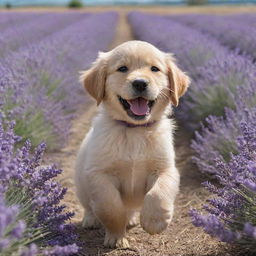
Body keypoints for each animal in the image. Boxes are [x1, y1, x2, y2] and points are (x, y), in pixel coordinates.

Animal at [74, 40, 190, 248]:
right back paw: (91, 219)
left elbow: (158, 194)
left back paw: (132, 218)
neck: (135, 130)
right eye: (122, 68)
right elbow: (111, 207)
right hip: (81, 181)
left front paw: (154, 222)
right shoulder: (99, 174)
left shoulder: (166, 169)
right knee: (88, 205)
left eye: (154, 69)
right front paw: (116, 237)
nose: (140, 83)